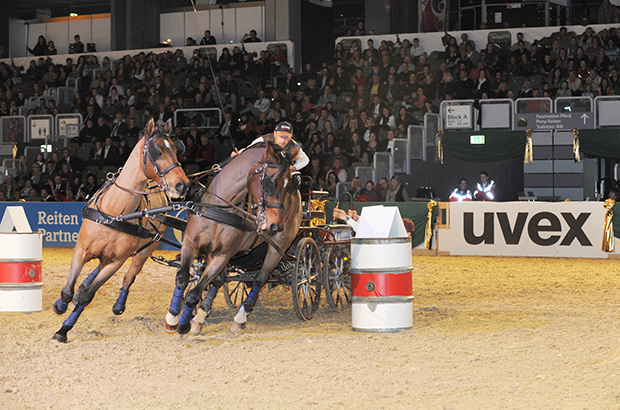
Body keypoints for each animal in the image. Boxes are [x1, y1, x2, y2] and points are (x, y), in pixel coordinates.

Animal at [51, 119, 189, 342]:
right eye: (157, 150)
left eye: (176, 150)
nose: (182, 184)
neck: (116, 213)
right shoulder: (81, 250)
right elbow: (68, 290)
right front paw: (60, 305)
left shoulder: (115, 262)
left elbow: (86, 296)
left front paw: (63, 330)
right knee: (94, 271)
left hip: (145, 251)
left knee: (129, 276)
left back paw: (118, 304)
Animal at [163, 141, 302, 334]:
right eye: (270, 183)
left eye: (289, 186)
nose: (276, 225)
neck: (220, 207)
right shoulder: (190, 245)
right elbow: (183, 279)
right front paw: (172, 318)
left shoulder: (222, 255)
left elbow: (194, 293)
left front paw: (183, 325)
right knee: (220, 280)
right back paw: (201, 316)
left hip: (277, 249)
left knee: (260, 278)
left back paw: (239, 319)